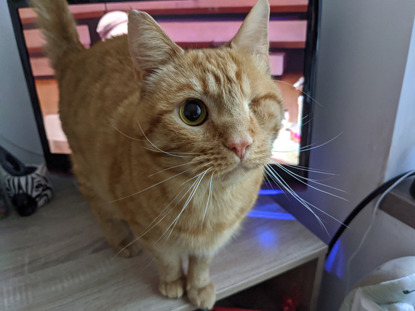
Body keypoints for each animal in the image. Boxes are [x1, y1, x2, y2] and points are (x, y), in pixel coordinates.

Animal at [32, 0, 284, 308]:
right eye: (192, 112)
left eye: (254, 104)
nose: (240, 144)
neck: (211, 200)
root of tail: (79, 54)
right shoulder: (149, 234)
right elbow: (168, 261)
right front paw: (174, 283)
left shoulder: (213, 242)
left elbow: (201, 263)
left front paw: (198, 286)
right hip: (90, 177)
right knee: (103, 212)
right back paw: (120, 242)